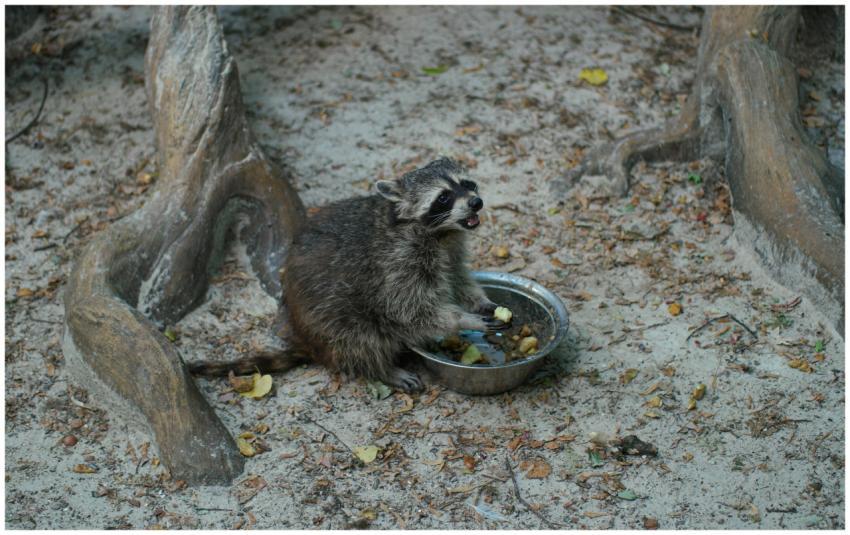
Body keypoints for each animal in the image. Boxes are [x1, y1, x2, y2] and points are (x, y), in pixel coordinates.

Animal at [283, 157, 505, 391]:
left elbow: (456, 277)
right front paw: (463, 319)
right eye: (443, 197)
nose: (476, 202)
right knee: (360, 339)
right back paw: (383, 370)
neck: (441, 232)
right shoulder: (397, 261)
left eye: (467, 184)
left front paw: (481, 302)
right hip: (329, 318)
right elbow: (408, 309)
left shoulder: (451, 247)